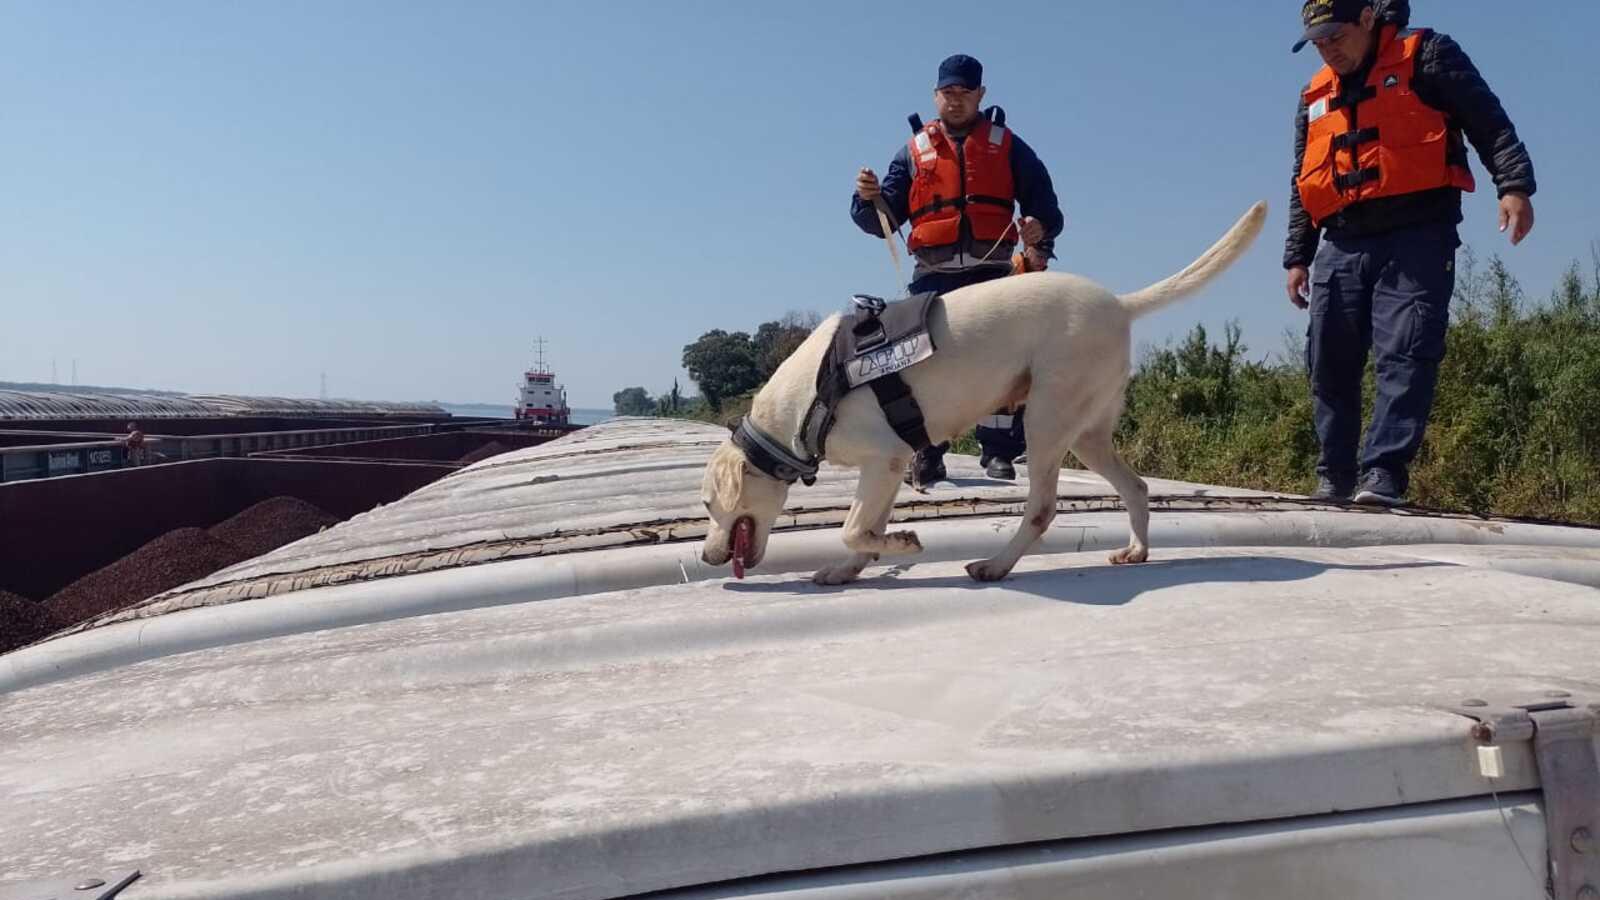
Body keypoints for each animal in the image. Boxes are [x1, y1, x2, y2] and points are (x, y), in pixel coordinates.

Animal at [697, 199, 1260, 586]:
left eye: (706, 504)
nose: (705, 556)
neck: (800, 408)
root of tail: (1121, 303)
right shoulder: (890, 468)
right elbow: (862, 530)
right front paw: (848, 569)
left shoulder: (882, 460)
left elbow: (853, 527)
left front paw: (903, 542)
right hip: (1088, 433)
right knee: (1137, 488)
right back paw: (1136, 551)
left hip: (1046, 419)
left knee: (1042, 508)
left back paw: (995, 565)